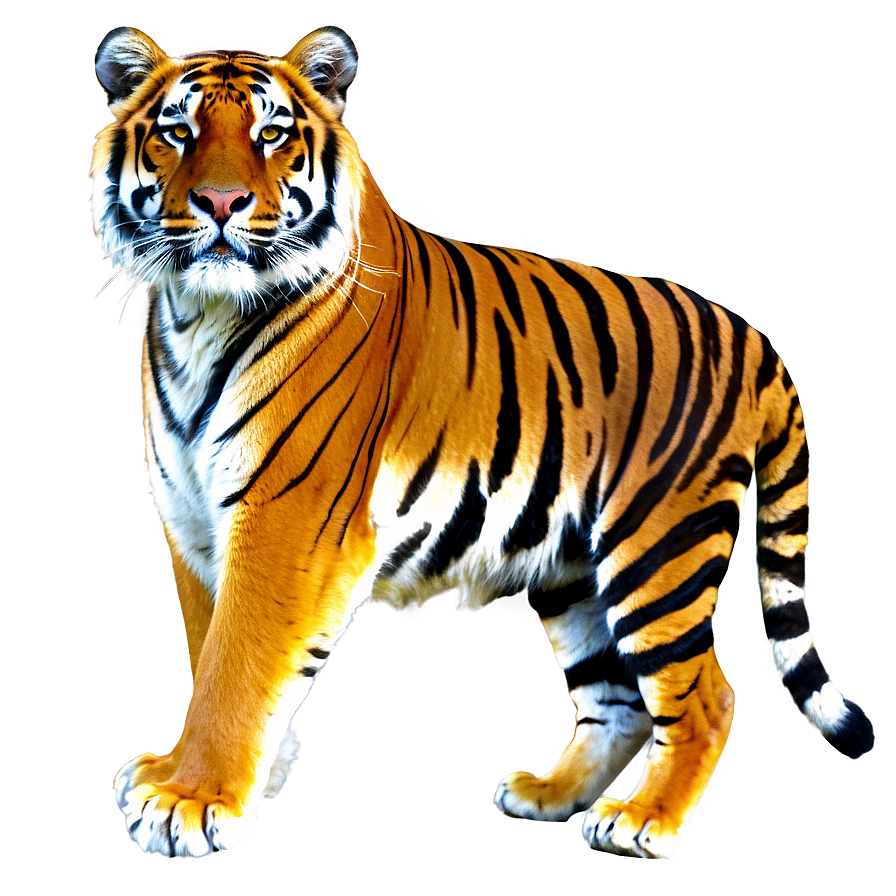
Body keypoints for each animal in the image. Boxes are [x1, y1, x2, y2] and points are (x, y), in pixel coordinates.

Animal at [90, 25, 874, 860]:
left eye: (272, 134)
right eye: (178, 132)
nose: (220, 203)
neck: (199, 315)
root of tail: (746, 333)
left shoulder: (285, 520)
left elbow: (234, 664)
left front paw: (192, 801)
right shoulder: (189, 520)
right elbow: (202, 649)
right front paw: (198, 774)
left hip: (656, 552)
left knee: (705, 700)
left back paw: (643, 822)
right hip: (570, 570)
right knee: (616, 699)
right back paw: (550, 794)